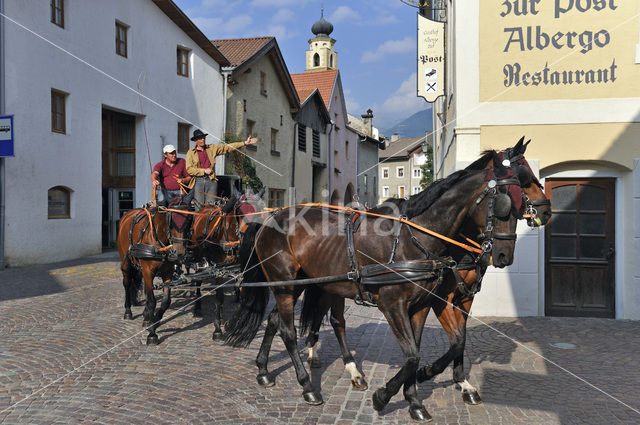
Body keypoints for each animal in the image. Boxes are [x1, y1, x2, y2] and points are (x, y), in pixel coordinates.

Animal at [228, 161, 524, 420]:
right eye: (503, 205)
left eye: (522, 204)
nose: (504, 255)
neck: (414, 238)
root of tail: (269, 219)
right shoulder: (394, 305)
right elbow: (413, 355)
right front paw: (384, 397)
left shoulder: (421, 305)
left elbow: (418, 352)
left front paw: (414, 401)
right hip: (285, 283)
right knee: (288, 331)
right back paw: (308, 386)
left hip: (300, 284)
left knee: (275, 320)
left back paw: (264, 370)